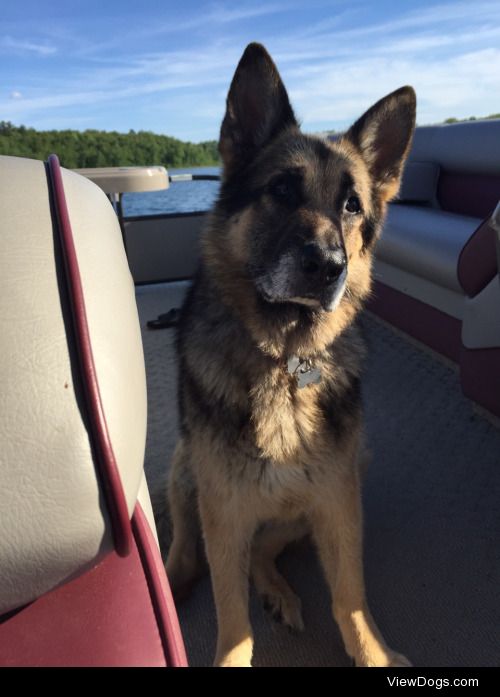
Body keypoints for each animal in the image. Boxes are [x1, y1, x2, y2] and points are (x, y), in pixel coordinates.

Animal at [166, 42, 416, 664]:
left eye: (352, 206)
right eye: (281, 190)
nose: (329, 267)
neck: (284, 360)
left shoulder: (337, 502)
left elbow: (349, 596)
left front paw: (372, 651)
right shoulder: (224, 511)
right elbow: (232, 616)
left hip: (340, 476)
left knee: (263, 552)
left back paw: (277, 590)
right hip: (186, 468)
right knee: (186, 545)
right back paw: (173, 578)